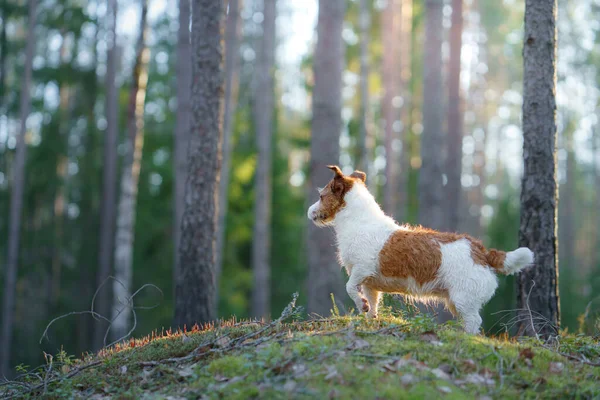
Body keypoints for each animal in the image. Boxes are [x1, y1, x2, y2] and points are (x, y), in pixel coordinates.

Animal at [310, 166, 536, 334]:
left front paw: (362, 305)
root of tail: (481, 251)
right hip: (456, 301)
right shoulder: (369, 284)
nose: (309, 212)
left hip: (464, 299)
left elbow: (349, 288)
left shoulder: (361, 270)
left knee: (474, 322)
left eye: (321, 196)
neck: (359, 220)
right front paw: (368, 317)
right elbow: (371, 305)